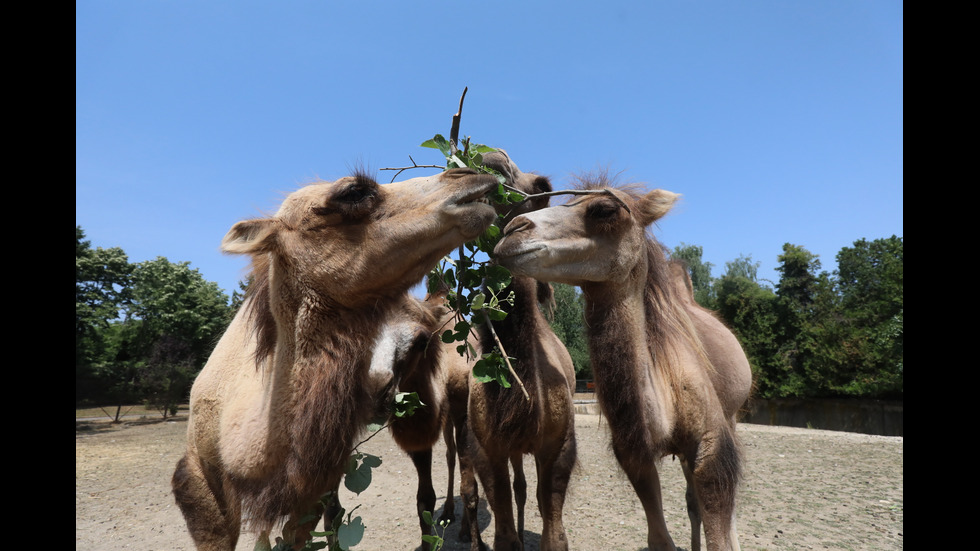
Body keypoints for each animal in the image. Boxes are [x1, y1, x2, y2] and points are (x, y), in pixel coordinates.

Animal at [458, 150, 576, 551]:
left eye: (542, 187)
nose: (493, 159)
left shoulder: (558, 444)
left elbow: (553, 526)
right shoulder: (487, 446)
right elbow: (504, 523)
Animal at [494, 178, 756, 551]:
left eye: (604, 209)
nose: (512, 231)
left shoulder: (711, 444)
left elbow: (719, 518)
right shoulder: (634, 455)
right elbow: (659, 536)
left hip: (732, 415)